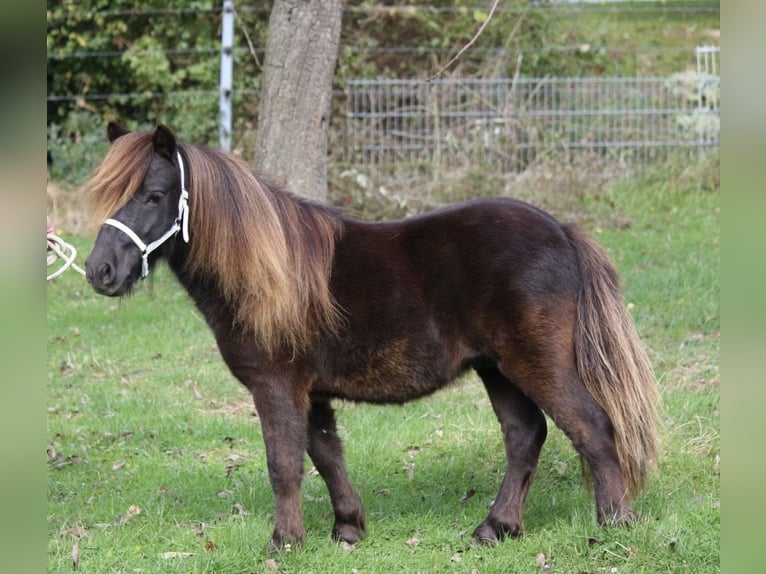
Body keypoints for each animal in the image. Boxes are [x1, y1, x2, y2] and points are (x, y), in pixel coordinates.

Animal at [82, 124, 660, 552]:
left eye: (154, 195)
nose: (99, 271)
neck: (267, 274)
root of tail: (561, 230)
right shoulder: (310, 392)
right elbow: (325, 455)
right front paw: (347, 528)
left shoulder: (276, 387)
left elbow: (284, 464)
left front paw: (284, 542)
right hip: (497, 368)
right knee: (525, 436)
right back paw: (496, 527)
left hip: (534, 362)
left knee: (591, 427)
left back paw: (614, 525)